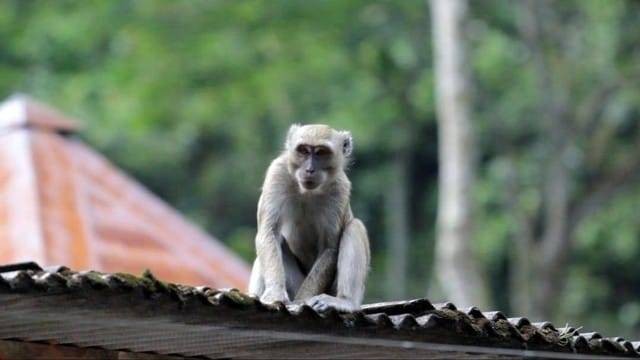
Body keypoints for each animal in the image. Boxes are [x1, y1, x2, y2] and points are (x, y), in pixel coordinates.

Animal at [249, 124, 372, 312]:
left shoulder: (340, 188)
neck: (308, 192)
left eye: (321, 152)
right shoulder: (277, 173)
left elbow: (329, 248)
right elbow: (269, 232)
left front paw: (303, 300)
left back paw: (345, 301)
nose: (309, 169)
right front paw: (275, 294)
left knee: (354, 227)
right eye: (304, 151)